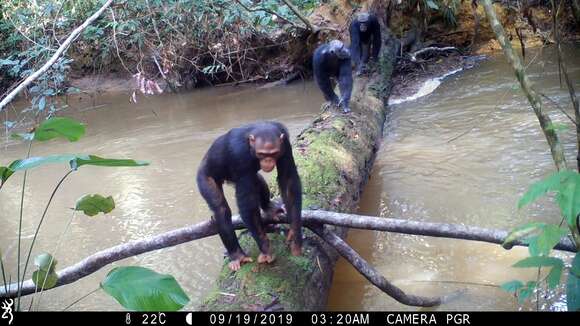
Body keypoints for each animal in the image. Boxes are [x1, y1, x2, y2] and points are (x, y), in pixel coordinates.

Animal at [197, 121, 302, 272]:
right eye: (262, 154)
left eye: (274, 153)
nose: (268, 160)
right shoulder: (239, 154)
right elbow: (248, 203)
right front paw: (265, 249)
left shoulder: (286, 145)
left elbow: (288, 180)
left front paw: (295, 236)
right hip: (204, 177)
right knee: (221, 210)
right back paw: (237, 255)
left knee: (258, 180)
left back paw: (269, 208)